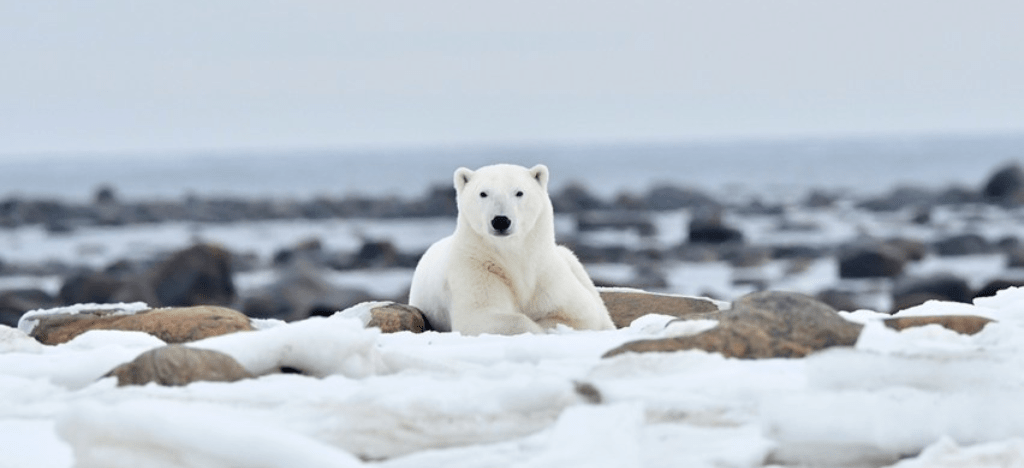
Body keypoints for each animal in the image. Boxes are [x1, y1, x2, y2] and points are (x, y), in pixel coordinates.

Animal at [409, 162, 614, 333]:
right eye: (483, 193)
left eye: (519, 192)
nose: (500, 220)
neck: (514, 256)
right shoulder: (477, 268)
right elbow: (480, 316)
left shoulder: (544, 275)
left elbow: (583, 313)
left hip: (568, 259)